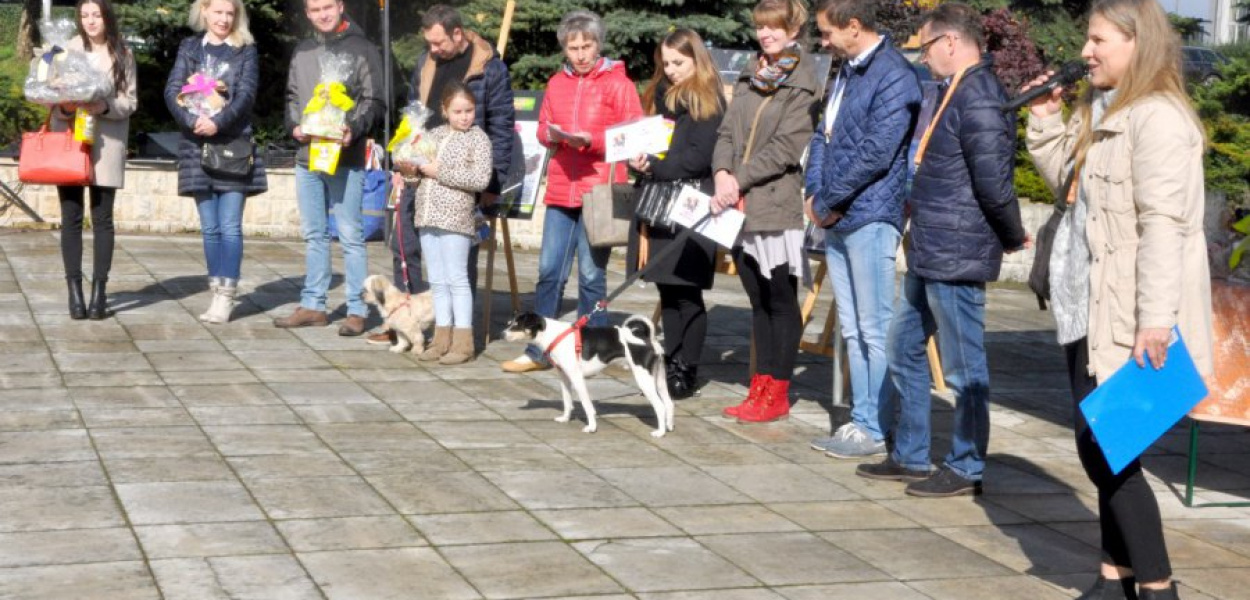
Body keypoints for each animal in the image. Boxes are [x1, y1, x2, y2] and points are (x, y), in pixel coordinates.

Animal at [500, 313, 675, 435]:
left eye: (517, 325)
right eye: (510, 323)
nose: (502, 334)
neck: (553, 335)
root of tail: (647, 339)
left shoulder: (577, 378)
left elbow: (587, 405)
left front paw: (591, 428)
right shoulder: (564, 376)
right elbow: (567, 401)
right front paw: (565, 419)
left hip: (644, 379)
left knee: (660, 406)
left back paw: (659, 433)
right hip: (659, 379)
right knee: (669, 403)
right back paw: (669, 426)